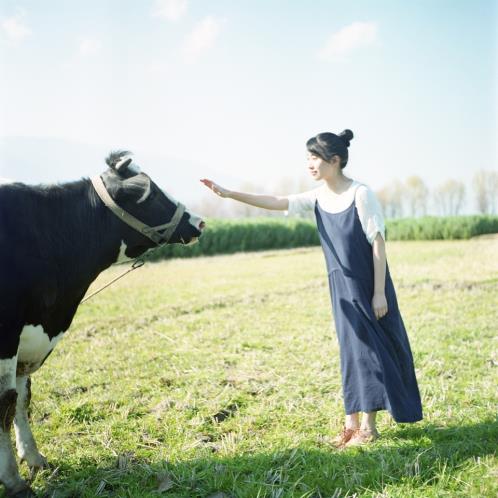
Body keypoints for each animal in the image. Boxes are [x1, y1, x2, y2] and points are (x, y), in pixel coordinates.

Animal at [0, 150, 205, 496]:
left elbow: (22, 400)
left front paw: (35, 458)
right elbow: (5, 405)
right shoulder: (6, 337)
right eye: (151, 195)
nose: (197, 221)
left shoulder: (28, 340)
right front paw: (14, 482)